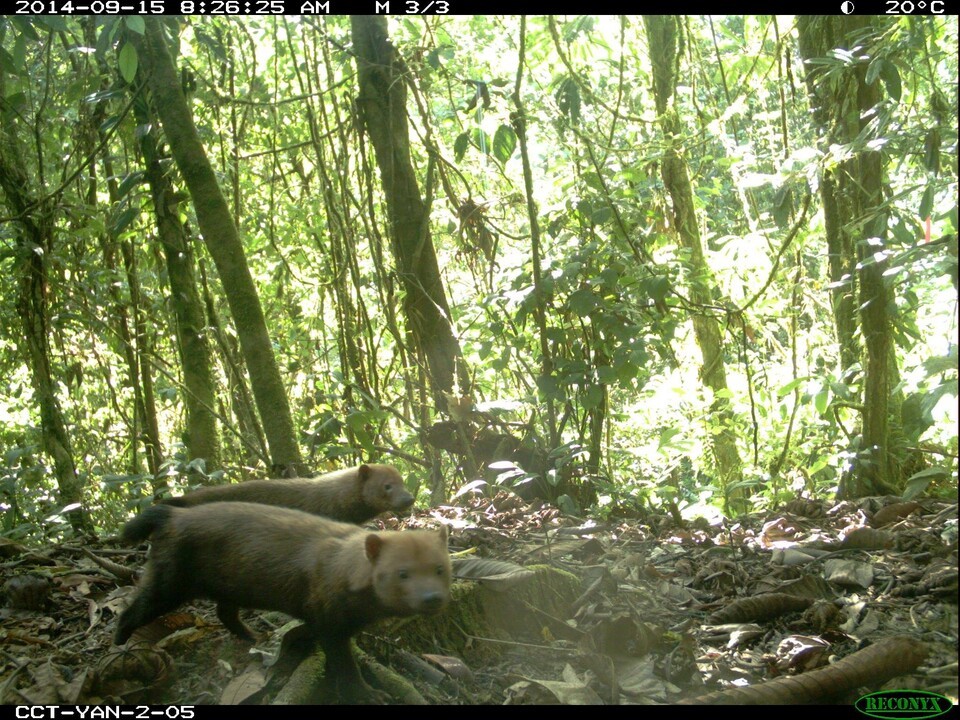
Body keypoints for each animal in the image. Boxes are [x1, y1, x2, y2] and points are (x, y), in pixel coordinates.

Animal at [114, 504, 452, 700]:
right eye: (402, 573)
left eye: (440, 568)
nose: (433, 598)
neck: (347, 572)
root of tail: (170, 515)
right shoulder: (329, 623)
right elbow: (345, 666)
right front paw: (367, 695)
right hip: (168, 583)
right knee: (131, 611)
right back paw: (120, 645)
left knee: (225, 613)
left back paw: (252, 637)